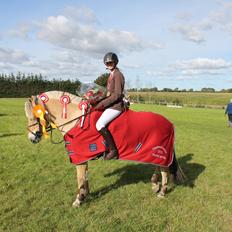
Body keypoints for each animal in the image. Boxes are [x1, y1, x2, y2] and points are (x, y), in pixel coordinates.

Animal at [24, 90, 186, 207]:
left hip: (160, 152)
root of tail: (169, 123)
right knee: (159, 167)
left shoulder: (80, 157)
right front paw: (85, 195)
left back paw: (162, 192)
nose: (32, 138)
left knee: (165, 170)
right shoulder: (83, 156)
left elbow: (80, 178)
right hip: (154, 153)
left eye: (34, 116)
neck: (76, 120)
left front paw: (79, 199)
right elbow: (85, 177)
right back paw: (154, 184)